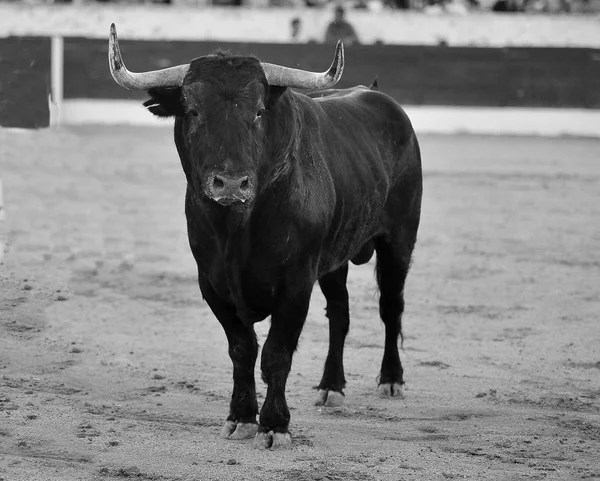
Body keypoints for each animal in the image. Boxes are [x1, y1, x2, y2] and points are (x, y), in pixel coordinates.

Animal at [110, 24, 424, 448]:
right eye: (193, 111)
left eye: (258, 112)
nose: (230, 183)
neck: (238, 229)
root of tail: (380, 98)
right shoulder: (212, 282)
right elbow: (242, 348)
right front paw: (241, 417)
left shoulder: (296, 282)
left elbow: (277, 352)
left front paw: (275, 424)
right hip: (335, 259)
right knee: (339, 314)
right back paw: (332, 386)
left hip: (399, 241)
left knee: (391, 306)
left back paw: (391, 380)